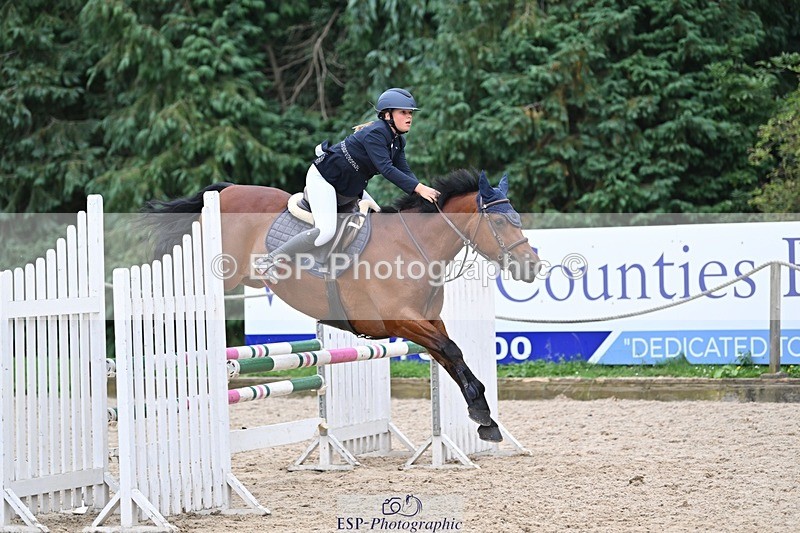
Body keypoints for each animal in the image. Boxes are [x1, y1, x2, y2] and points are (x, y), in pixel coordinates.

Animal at [143, 169, 540, 442]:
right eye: (501, 220)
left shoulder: (428, 321)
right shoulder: (401, 322)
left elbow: (449, 356)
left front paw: (484, 416)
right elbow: (451, 350)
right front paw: (483, 414)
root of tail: (227, 190)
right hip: (216, 273)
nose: (532, 266)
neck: (416, 248)